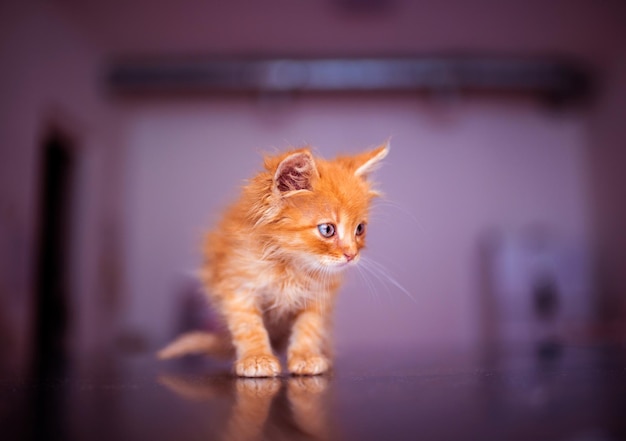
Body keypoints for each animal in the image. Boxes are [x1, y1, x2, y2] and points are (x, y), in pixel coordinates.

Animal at [157, 143, 386, 376]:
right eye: (327, 230)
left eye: (360, 229)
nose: (351, 255)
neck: (290, 265)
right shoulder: (237, 284)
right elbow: (248, 325)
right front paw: (257, 358)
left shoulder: (319, 295)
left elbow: (309, 326)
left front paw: (305, 356)